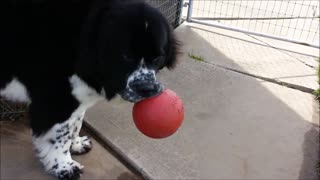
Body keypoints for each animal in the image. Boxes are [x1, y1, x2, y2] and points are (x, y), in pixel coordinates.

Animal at [0, 0, 180, 179]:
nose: (146, 88)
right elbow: (60, 135)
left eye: (157, 57)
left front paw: (76, 145)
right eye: (126, 56)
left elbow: (75, 123)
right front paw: (64, 166)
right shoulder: (56, 99)